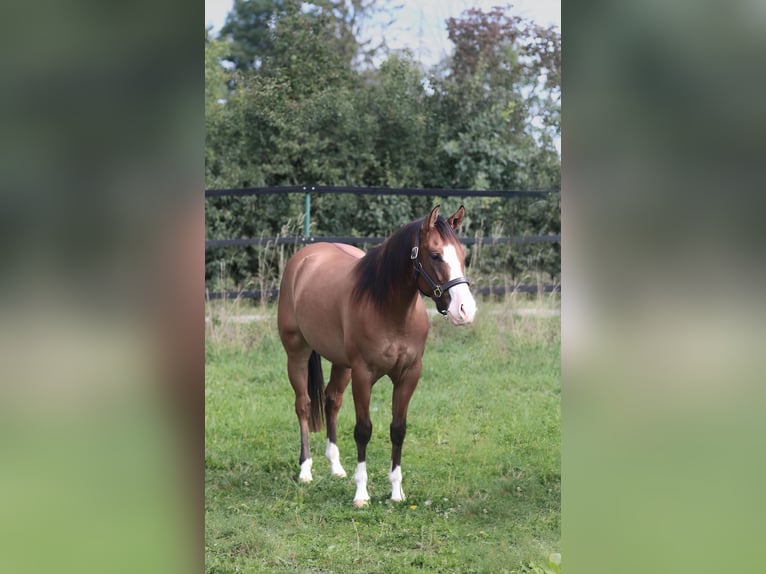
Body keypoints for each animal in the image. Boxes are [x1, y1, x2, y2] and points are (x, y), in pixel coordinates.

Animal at [277, 205, 477, 506]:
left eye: (463, 255)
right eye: (435, 255)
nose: (465, 310)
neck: (387, 308)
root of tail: (303, 259)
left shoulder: (409, 375)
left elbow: (398, 429)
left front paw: (396, 492)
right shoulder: (363, 375)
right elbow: (363, 430)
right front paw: (361, 494)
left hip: (341, 363)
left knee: (332, 401)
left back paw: (336, 466)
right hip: (296, 352)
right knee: (303, 404)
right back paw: (306, 470)